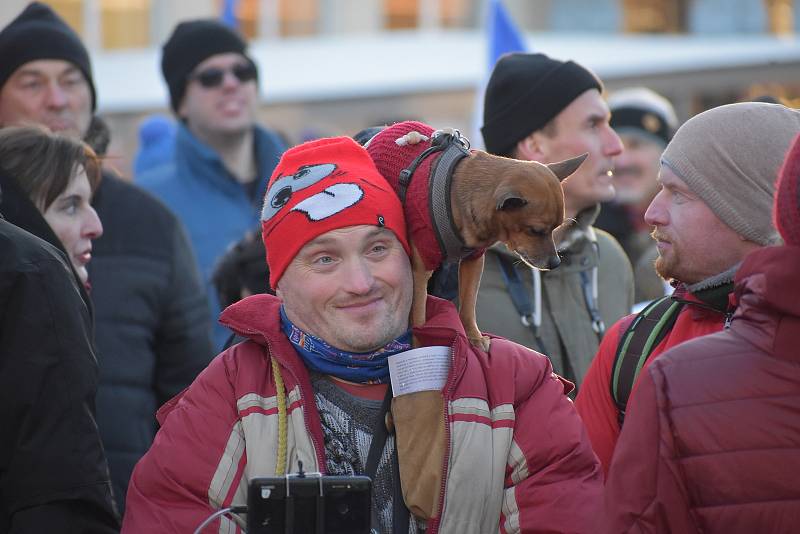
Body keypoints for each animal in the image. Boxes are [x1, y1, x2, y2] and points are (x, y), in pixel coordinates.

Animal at [366, 123, 584, 354]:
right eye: (535, 231)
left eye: (556, 229)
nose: (556, 262)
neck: (455, 195)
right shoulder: (419, 271)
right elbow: (418, 317)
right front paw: (420, 347)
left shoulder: (473, 262)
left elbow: (468, 305)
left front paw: (473, 337)